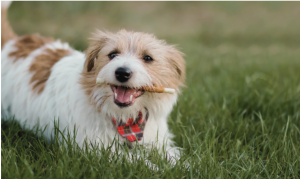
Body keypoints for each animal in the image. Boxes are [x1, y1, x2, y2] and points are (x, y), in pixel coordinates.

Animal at [1, 1, 185, 166]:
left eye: (147, 58)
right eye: (113, 54)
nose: (122, 72)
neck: (125, 120)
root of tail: (12, 43)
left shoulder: (157, 141)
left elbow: (174, 157)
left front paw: (184, 167)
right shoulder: (97, 149)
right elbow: (142, 163)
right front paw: (158, 169)